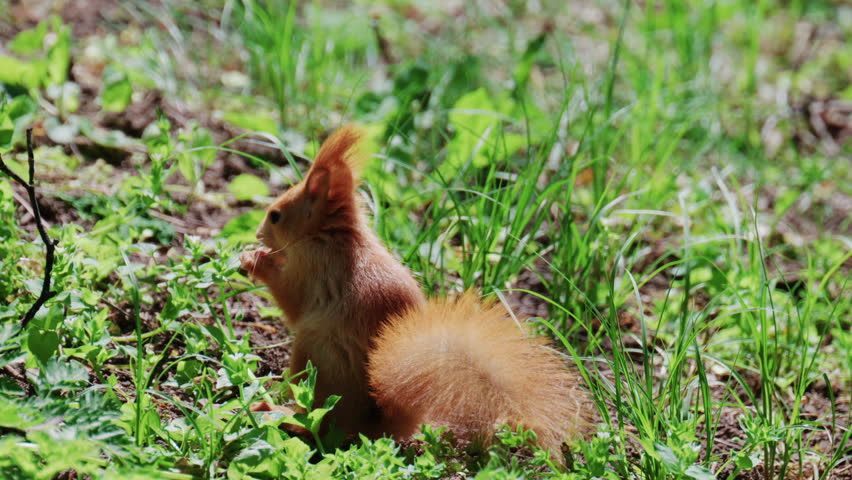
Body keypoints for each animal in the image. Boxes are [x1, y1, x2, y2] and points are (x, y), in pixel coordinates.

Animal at [239, 126, 590, 455]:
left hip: (314, 357)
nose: (257, 233)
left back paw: (276, 412)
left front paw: (256, 260)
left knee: (319, 426)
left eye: (275, 216)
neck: (333, 235)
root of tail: (375, 424)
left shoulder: (314, 269)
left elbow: (292, 301)